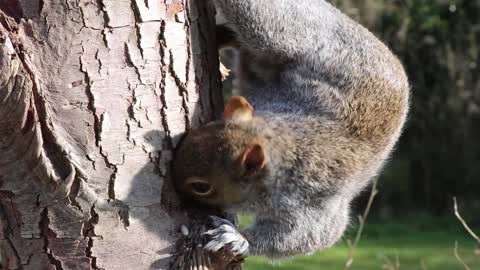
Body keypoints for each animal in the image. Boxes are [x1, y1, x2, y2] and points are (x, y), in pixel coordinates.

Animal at [172, 0, 408, 258]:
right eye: (200, 129)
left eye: (201, 187)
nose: (170, 183)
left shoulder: (311, 203)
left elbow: (307, 236)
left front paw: (237, 238)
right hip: (282, 37)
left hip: (284, 35)